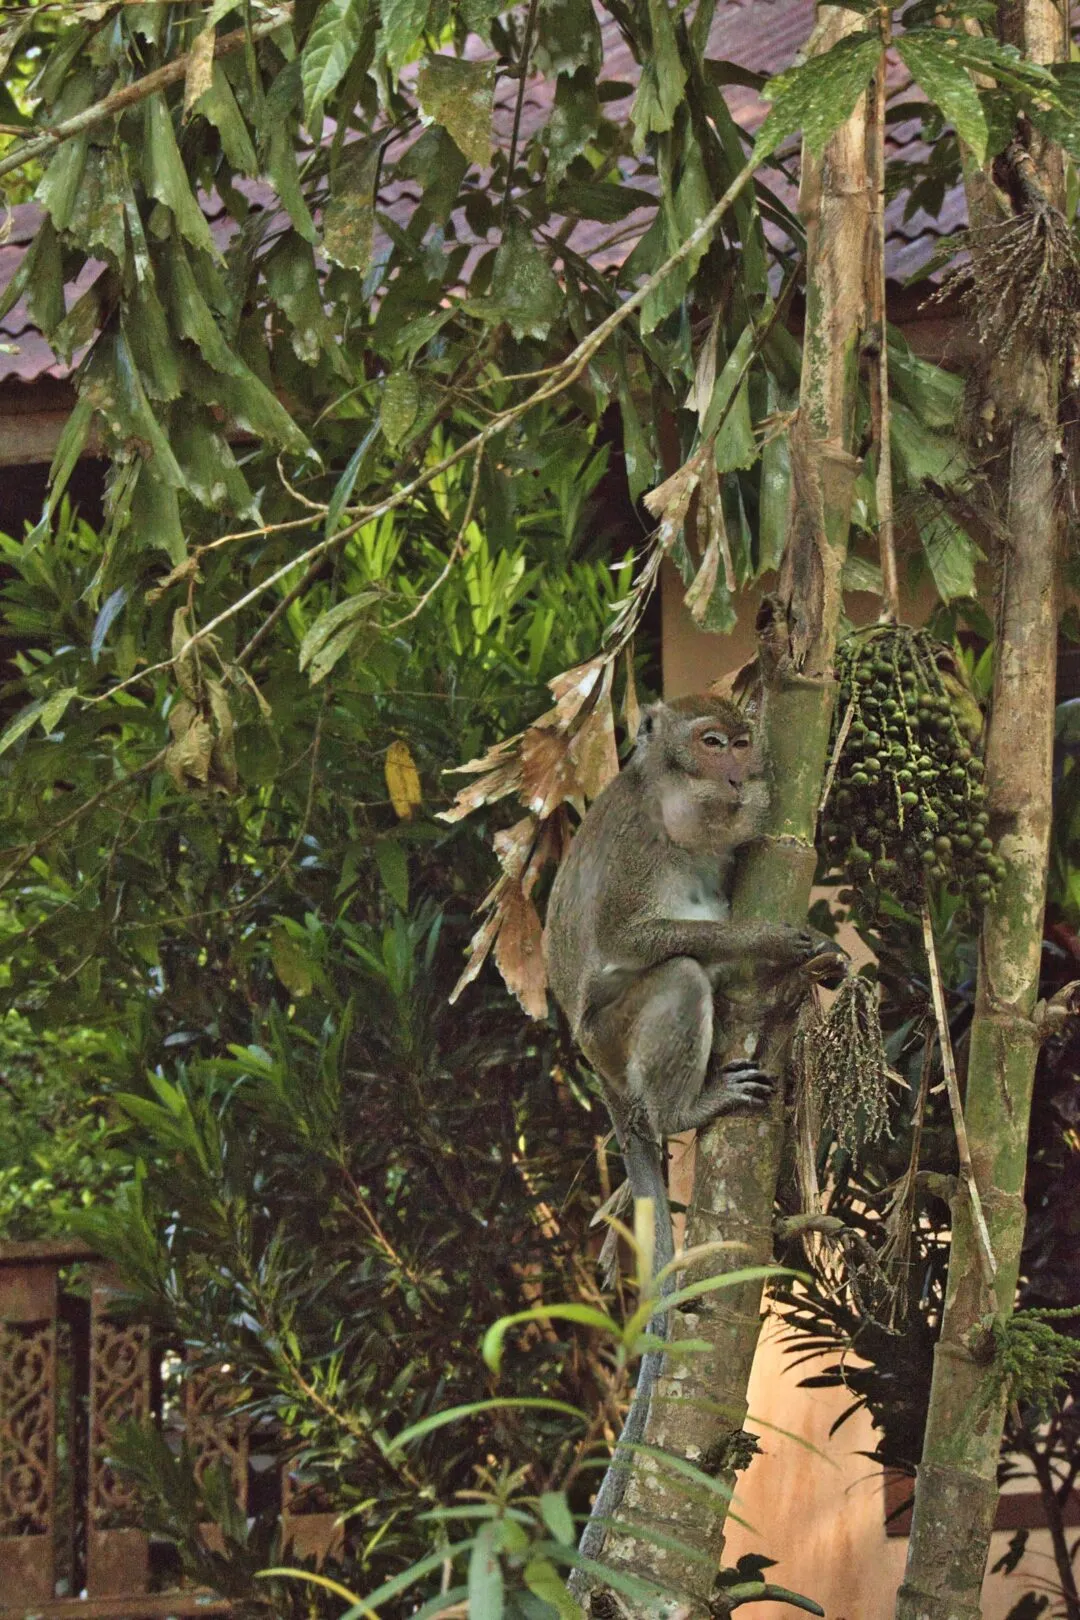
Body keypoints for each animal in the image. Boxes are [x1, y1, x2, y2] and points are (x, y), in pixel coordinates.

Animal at [543, 693, 841, 1574]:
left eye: (741, 741)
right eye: (712, 744)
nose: (739, 771)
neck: (676, 808)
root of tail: (594, 1068)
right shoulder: (638, 851)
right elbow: (630, 938)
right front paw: (768, 941)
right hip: (613, 1037)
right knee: (677, 973)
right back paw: (684, 1110)